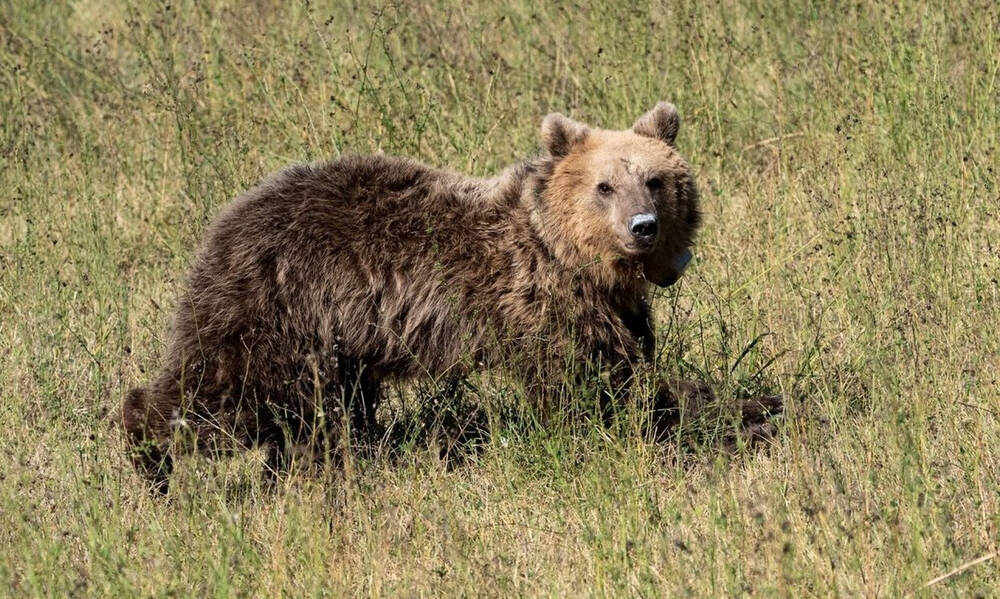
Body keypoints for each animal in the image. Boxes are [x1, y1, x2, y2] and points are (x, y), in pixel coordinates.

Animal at [123, 103, 780, 492]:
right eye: (604, 186)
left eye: (656, 179)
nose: (642, 226)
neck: (572, 258)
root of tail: (228, 219)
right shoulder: (539, 305)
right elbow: (594, 390)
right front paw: (729, 417)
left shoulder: (615, 310)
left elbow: (633, 370)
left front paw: (752, 406)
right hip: (279, 311)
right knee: (223, 396)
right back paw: (149, 458)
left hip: (335, 340)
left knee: (320, 415)